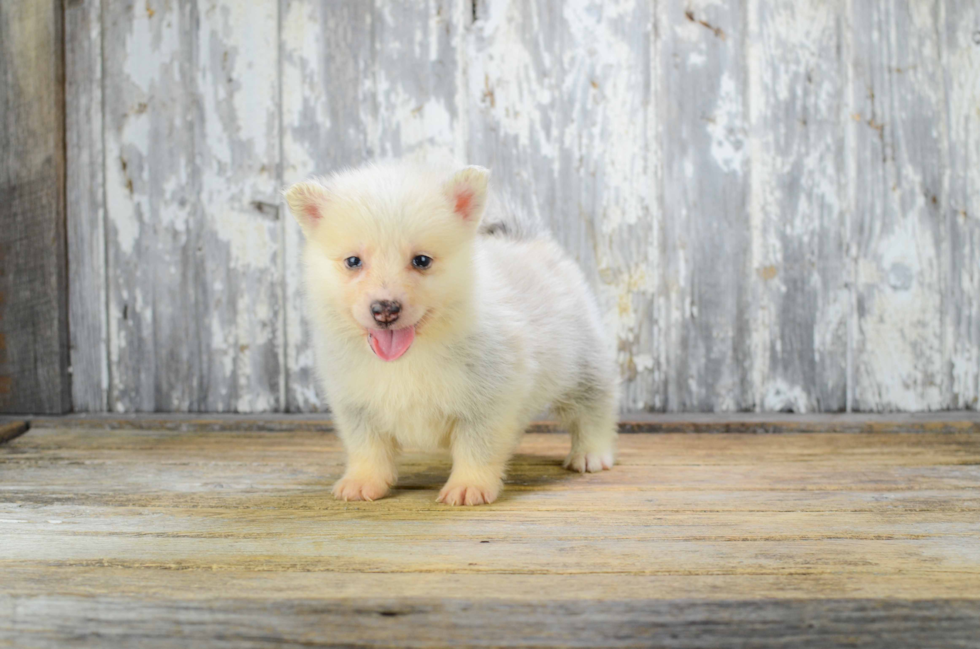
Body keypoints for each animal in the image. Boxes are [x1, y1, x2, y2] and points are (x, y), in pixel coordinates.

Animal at [288, 159, 616, 504]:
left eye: (421, 260)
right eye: (353, 261)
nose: (385, 309)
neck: (410, 356)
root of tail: (527, 240)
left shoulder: (489, 402)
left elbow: (477, 448)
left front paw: (469, 485)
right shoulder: (356, 405)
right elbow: (367, 448)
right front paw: (363, 481)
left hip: (584, 366)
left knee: (594, 410)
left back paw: (591, 454)